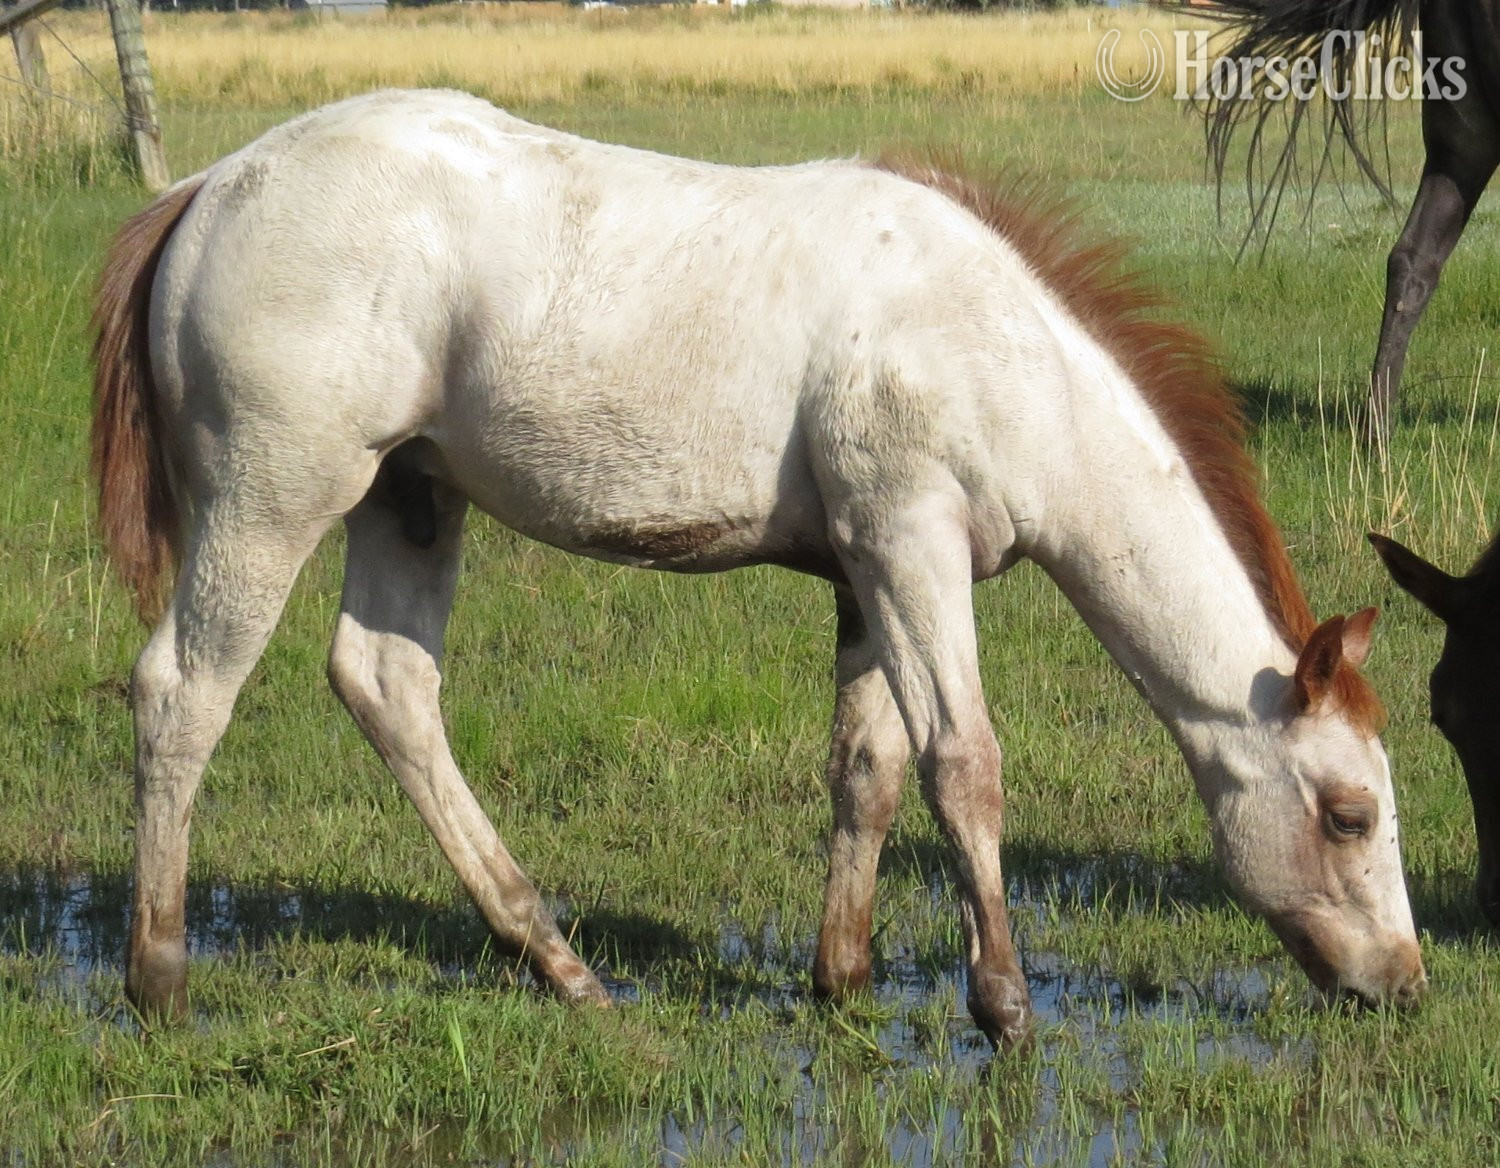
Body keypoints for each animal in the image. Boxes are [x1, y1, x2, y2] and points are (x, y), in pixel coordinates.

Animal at [91, 89, 1426, 1049]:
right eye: (1349, 814)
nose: (1406, 983)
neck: (1002, 352)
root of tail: (211, 186)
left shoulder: (866, 572)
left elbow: (869, 767)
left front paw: (844, 979)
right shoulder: (911, 543)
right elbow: (966, 765)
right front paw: (1002, 1008)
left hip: (410, 498)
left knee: (387, 686)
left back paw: (562, 965)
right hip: (274, 497)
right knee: (183, 692)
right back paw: (159, 977)